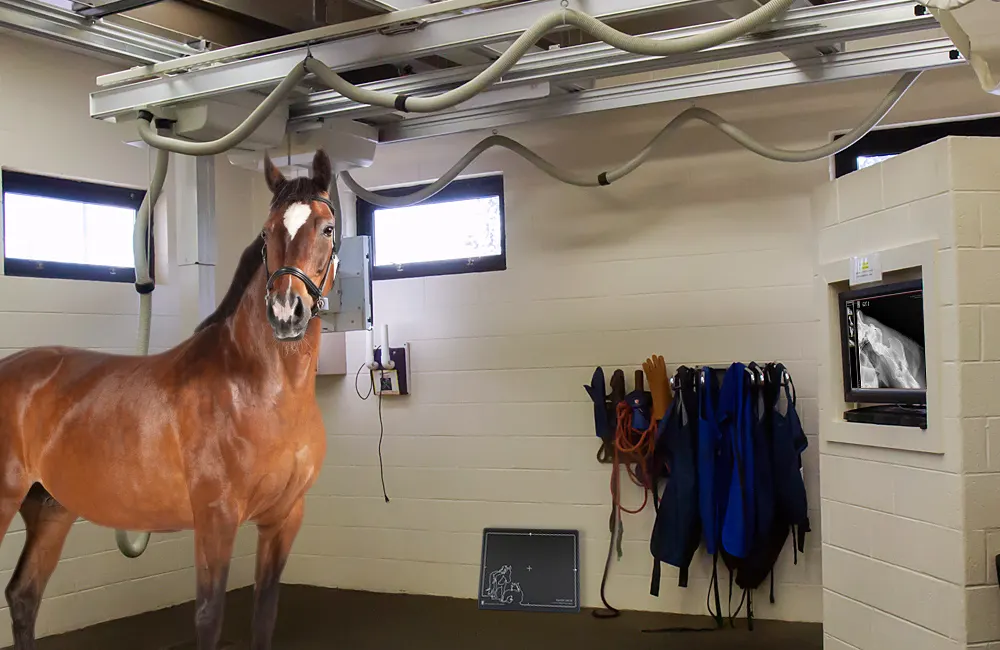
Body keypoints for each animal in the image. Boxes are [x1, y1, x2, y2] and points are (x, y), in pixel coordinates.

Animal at [0, 149, 338, 650]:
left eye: (327, 228)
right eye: (266, 231)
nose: (286, 313)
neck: (261, 388)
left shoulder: (283, 518)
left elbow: (264, 616)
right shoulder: (216, 519)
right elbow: (209, 617)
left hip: (49, 510)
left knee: (24, 595)